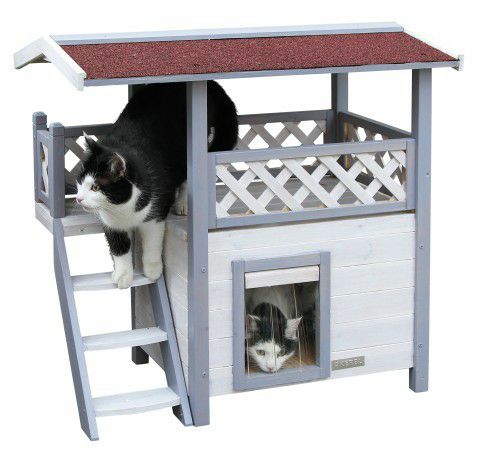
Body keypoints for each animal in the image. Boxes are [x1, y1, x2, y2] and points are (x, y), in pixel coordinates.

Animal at [76, 81, 238, 288]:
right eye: (81, 181)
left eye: (96, 187)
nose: (79, 199)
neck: (122, 209)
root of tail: (213, 85)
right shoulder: (111, 222)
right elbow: (119, 248)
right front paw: (123, 275)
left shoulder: (156, 212)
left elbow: (153, 242)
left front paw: (153, 270)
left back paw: (182, 203)